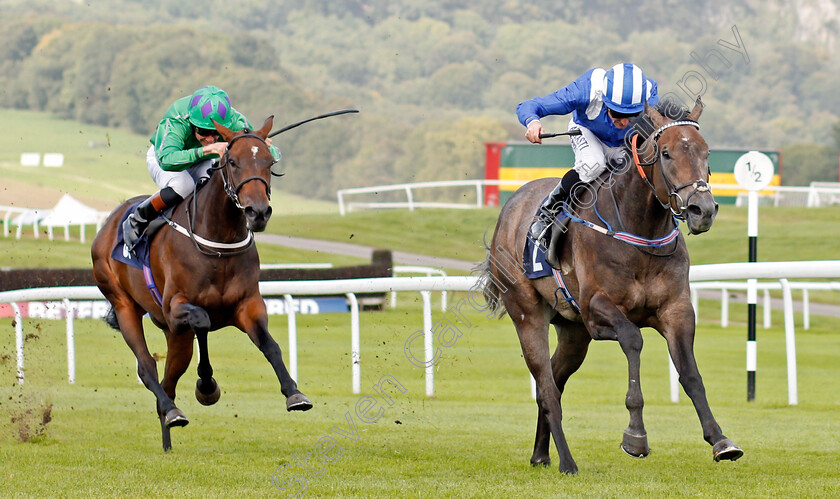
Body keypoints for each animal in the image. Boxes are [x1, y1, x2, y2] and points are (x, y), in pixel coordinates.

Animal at [90, 118, 312, 454]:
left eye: (269, 162)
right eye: (232, 162)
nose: (258, 212)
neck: (218, 242)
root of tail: (110, 222)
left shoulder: (248, 305)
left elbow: (269, 345)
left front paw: (294, 394)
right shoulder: (174, 308)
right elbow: (203, 321)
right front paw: (206, 385)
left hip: (174, 336)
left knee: (169, 378)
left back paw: (168, 434)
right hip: (124, 303)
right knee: (147, 367)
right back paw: (172, 411)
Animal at [480, 98, 740, 476]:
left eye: (706, 153)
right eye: (665, 153)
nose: (701, 210)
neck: (640, 232)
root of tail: (510, 208)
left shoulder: (676, 310)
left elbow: (690, 374)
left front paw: (720, 440)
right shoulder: (596, 310)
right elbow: (633, 339)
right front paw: (635, 436)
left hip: (573, 334)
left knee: (554, 382)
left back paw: (541, 454)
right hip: (528, 314)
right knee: (546, 388)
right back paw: (567, 461)